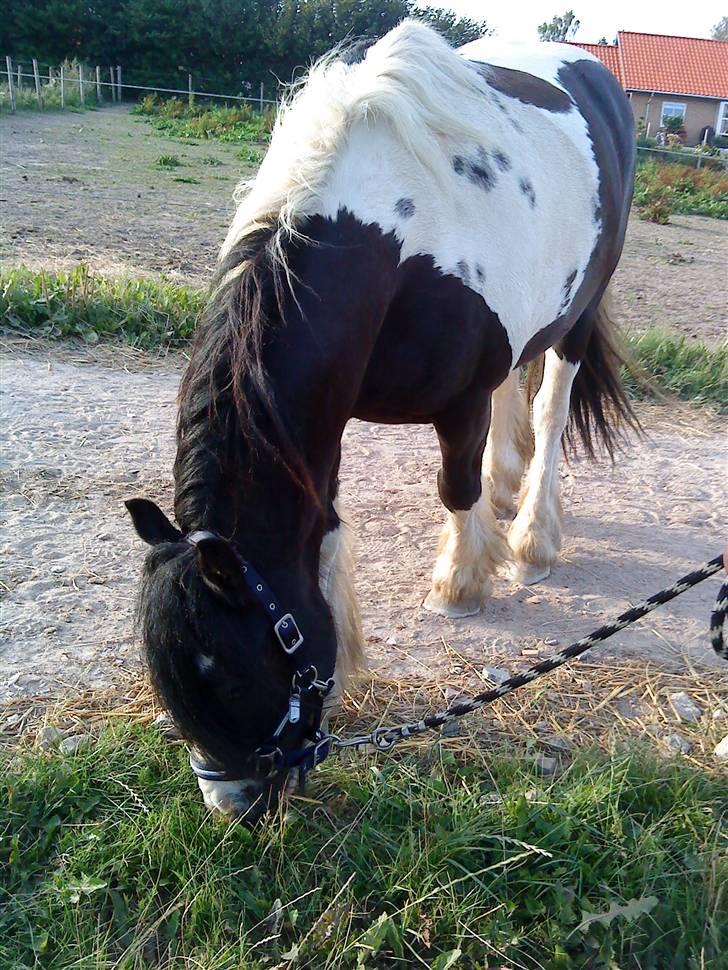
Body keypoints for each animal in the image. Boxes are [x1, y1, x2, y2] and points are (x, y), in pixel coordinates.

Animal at [128, 20, 640, 816]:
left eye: (234, 674)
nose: (234, 807)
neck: (384, 235)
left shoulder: (459, 402)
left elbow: (455, 486)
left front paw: (461, 585)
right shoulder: (319, 426)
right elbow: (327, 522)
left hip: (578, 319)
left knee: (550, 408)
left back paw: (531, 537)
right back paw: (507, 492)